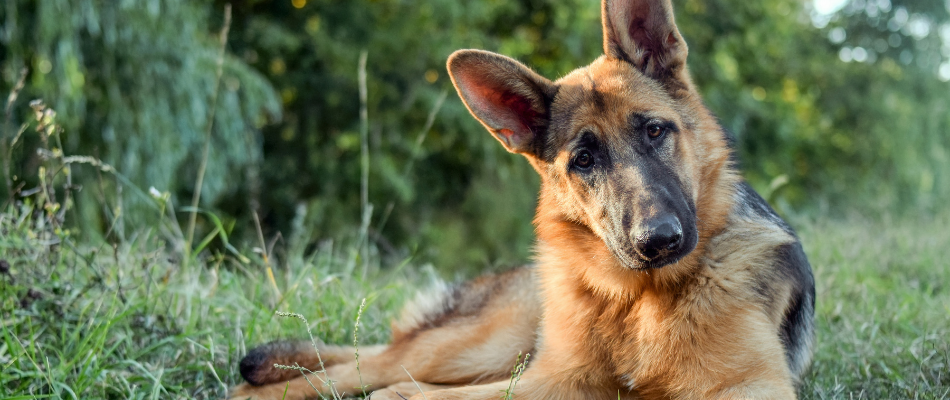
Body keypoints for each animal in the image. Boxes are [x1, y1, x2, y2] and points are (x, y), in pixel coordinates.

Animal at [231, 0, 820, 398]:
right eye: (583, 161)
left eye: (655, 131)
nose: (658, 241)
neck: (637, 301)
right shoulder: (554, 379)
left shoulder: (749, 388)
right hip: (476, 347)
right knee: (358, 369)